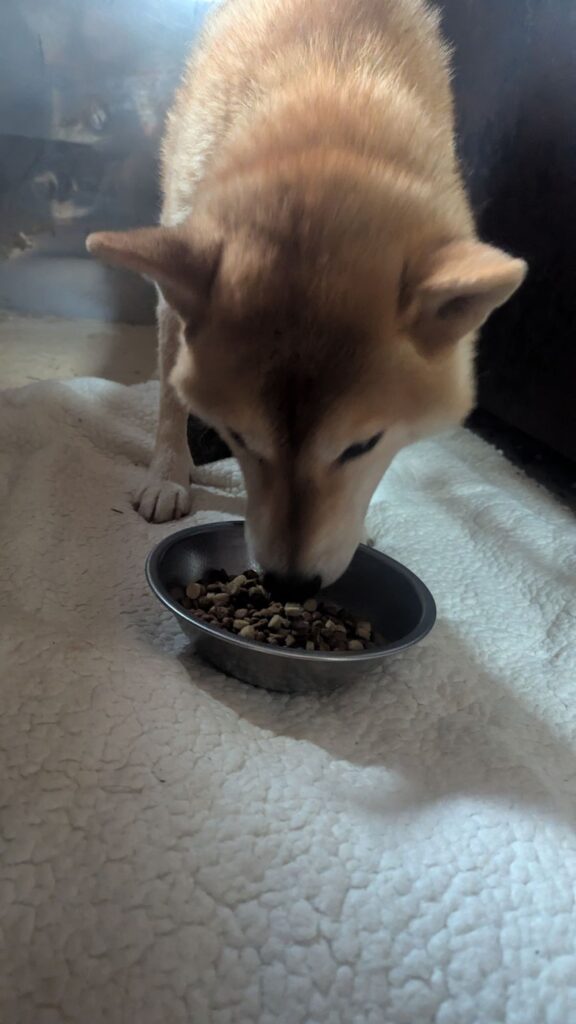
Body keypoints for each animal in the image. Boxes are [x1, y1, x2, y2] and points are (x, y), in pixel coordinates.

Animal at [87, 0, 526, 599]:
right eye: (239, 436)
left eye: (361, 447)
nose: (290, 586)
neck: (326, 103)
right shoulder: (177, 273)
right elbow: (171, 396)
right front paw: (167, 475)